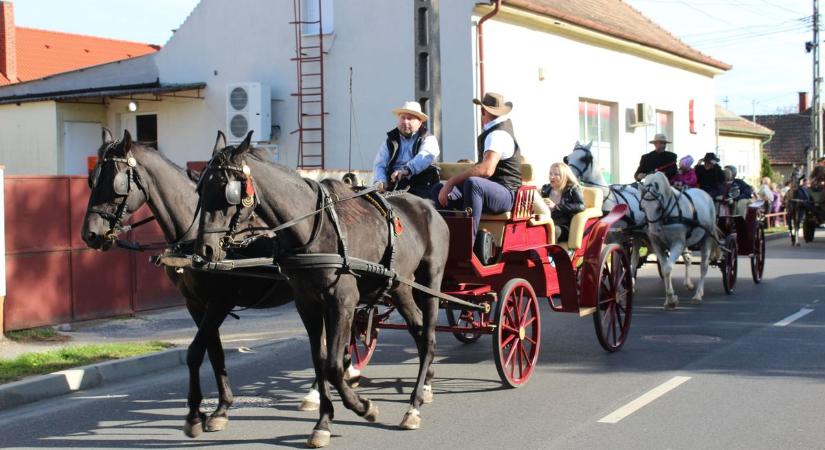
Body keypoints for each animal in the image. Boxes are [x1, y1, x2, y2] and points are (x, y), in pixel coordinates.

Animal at [79, 128, 300, 438]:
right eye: (92, 179)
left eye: (116, 183)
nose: (90, 235)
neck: (194, 235)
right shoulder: (195, 304)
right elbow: (214, 352)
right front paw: (220, 409)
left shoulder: (220, 302)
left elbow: (195, 352)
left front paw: (195, 415)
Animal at [196, 131, 448, 446]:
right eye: (200, 188)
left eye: (226, 190)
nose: (204, 249)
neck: (312, 228)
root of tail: (429, 208)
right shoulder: (308, 304)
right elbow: (320, 359)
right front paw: (323, 422)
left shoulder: (343, 302)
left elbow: (333, 366)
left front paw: (363, 406)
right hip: (400, 288)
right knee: (418, 331)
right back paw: (423, 388)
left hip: (430, 284)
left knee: (428, 338)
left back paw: (414, 405)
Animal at [636, 172, 716, 310]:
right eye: (643, 208)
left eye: (658, 207)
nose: (654, 231)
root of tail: (704, 193)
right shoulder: (658, 245)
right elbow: (664, 269)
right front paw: (669, 299)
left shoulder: (678, 243)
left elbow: (668, 268)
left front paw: (672, 300)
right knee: (688, 259)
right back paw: (689, 284)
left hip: (707, 238)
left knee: (703, 267)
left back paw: (698, 294)